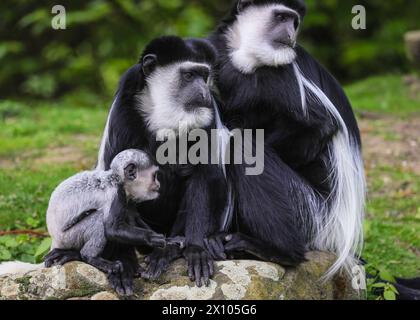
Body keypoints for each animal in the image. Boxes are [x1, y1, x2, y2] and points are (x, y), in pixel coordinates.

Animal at [96, 36, 228, 288]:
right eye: (189, 76)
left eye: (204, 75)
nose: (204, 92)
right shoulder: (126, 102)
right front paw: (123, 265)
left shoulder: (207, 116)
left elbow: (203, 173)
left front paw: (195, 250)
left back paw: (169, 250)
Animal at [208, 0, 366, 278]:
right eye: (281, 17)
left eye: (294, 22)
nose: (291, 32)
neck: (245, 56)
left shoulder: (283, 76)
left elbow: (319, 127)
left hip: (311, 213)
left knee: (245, 145)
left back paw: (275, 250)